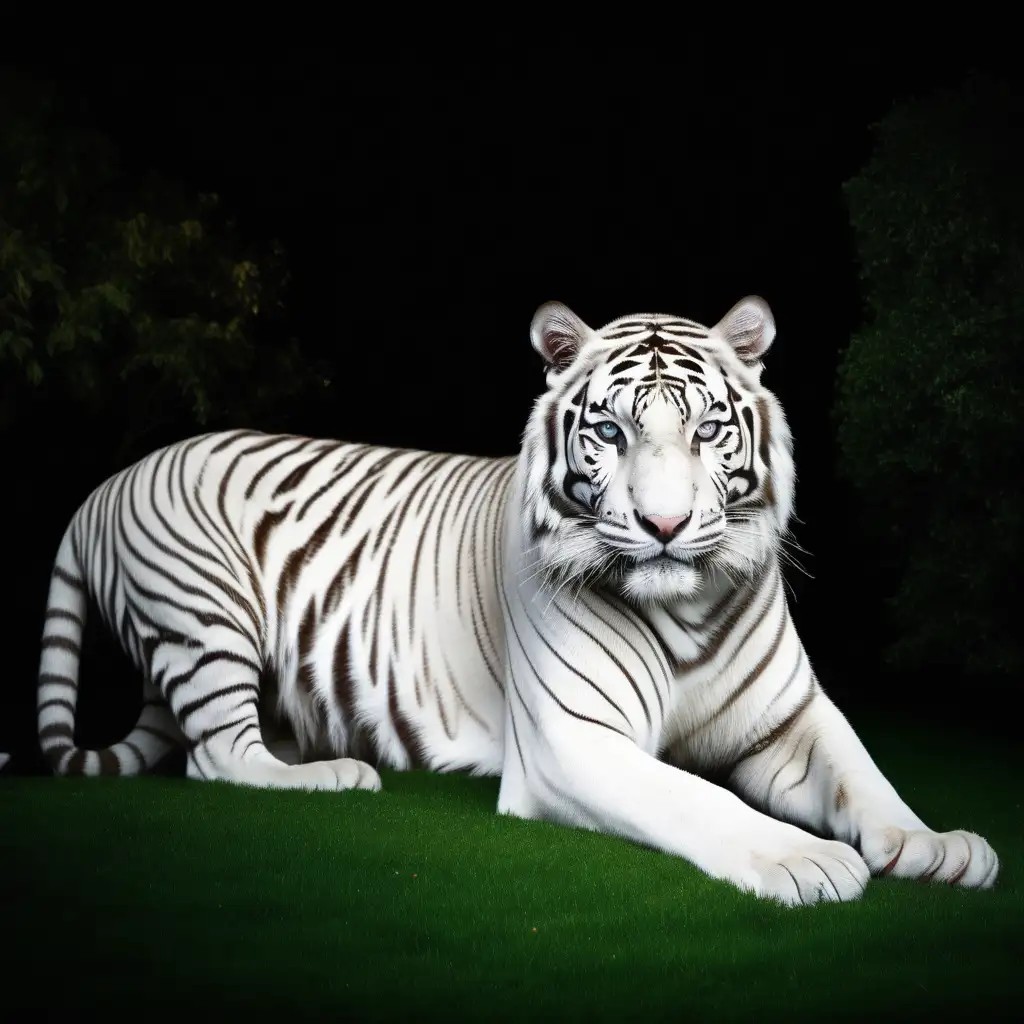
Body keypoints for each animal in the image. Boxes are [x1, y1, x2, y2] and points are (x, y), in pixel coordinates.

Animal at [34, 296, 999, 905]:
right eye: (609, 430)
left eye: (707, 429)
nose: (663, 523)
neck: (686, 613)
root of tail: (107, 482)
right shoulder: (574, 739)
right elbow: (699, 798)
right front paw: (806, 859)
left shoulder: (789, 720)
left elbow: (864, 776)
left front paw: (936, 845)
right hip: (207, 618)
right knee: (216, 757)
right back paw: (332, 774)